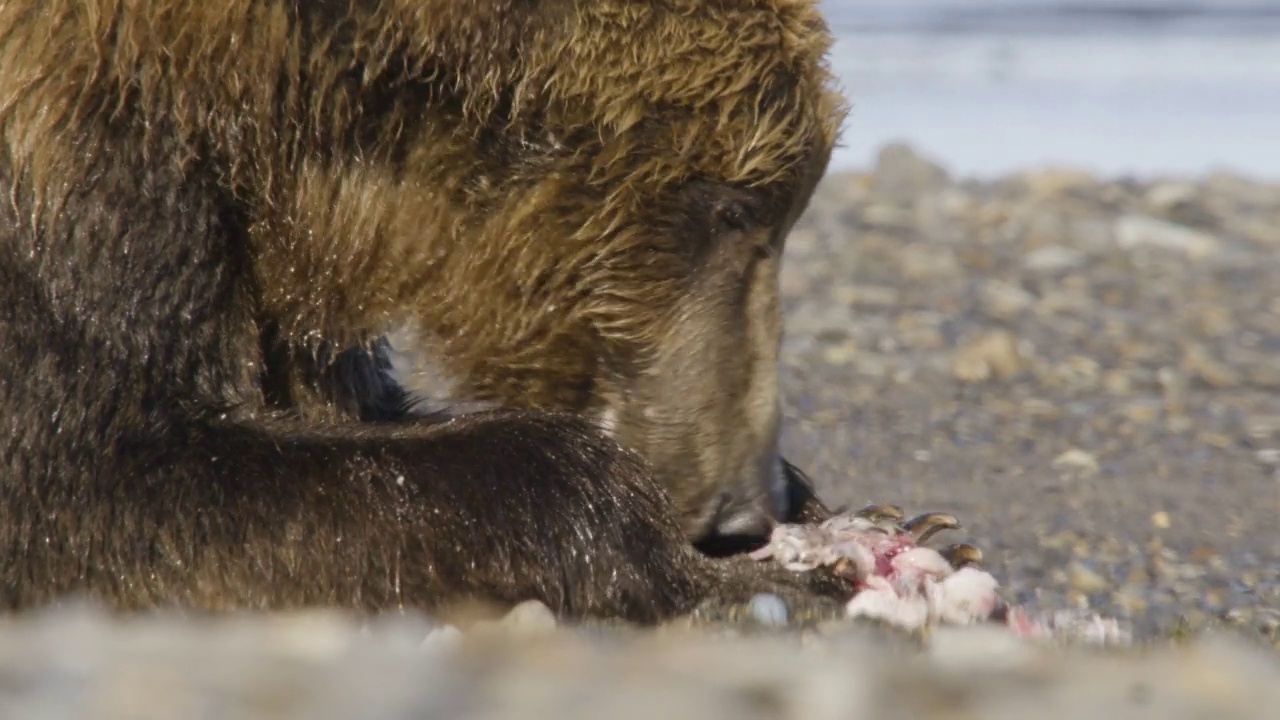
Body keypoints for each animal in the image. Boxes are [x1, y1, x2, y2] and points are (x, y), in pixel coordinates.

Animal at [0, 0, 855, 620]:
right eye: (736, 210)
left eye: (779, 208)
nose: (744, 507)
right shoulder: (81, 161)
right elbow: (105, 474)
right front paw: (763, 576)